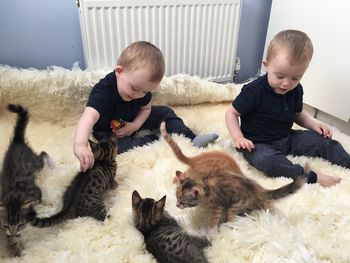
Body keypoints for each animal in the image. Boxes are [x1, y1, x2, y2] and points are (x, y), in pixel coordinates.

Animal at [0, 104, 54, 256]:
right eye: (5, 225)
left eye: (20, 224)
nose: (14, 233)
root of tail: (17, 141)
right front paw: (16, 249)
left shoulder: (35, 190)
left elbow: (39, 198)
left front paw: (41, 204)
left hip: (34, 163)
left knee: (42, 154)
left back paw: (52, 165)